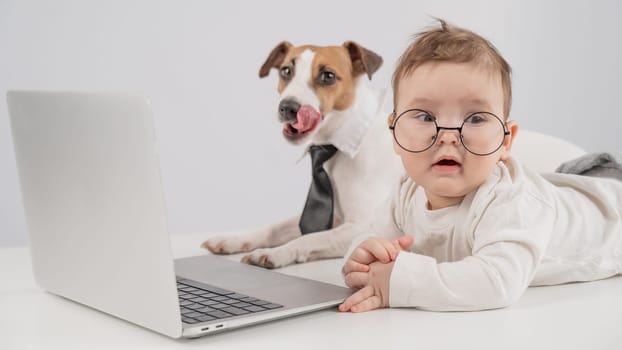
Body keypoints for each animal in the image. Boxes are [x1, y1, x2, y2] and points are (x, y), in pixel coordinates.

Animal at [201, 42, 404, 270]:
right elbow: (274, 228)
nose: (287, 107)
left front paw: (276, 252)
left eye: (328, 76)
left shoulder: (363, 226)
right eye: (286, 71)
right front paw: (232, 240)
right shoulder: (332, 218)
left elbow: (311, 237)